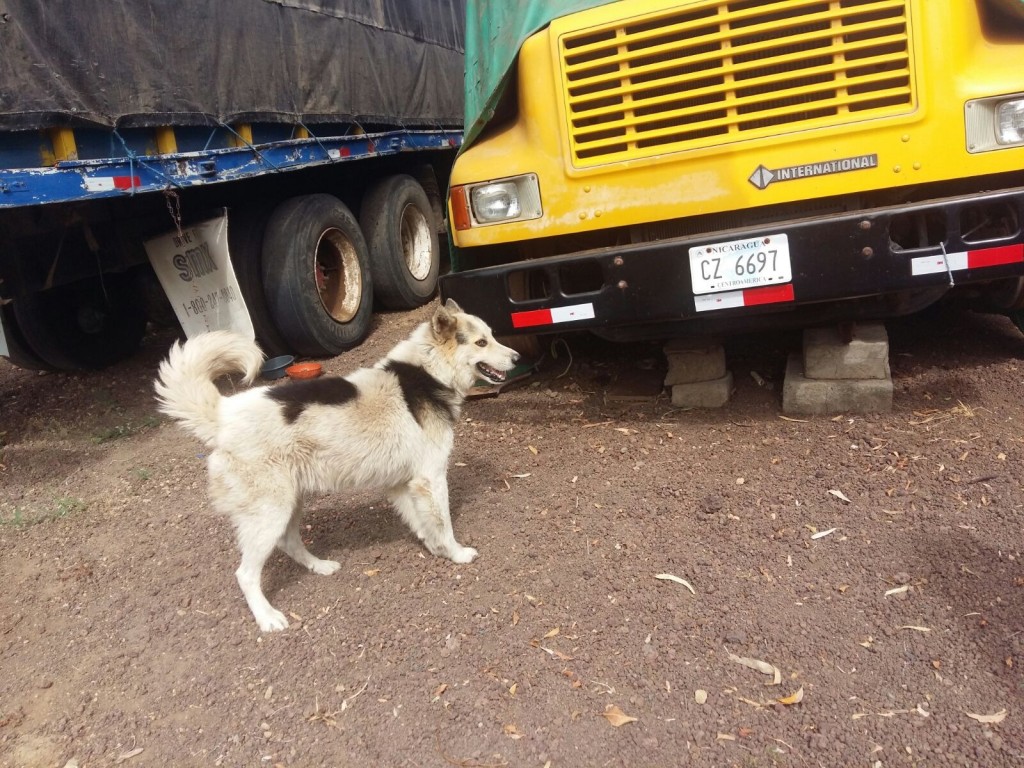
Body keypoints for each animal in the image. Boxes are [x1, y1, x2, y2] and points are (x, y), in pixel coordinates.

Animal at [155, 299, 520, 630]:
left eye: (491, 336)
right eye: (482, 342)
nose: (517, 357)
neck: (429, 371)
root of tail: (223, 414)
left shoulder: (403, 484)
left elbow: (423, 524)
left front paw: (436, 549)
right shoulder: (430, 479)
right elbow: (443, 523)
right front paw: (456, 553)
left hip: (289, 503)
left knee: (289, 543)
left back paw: (320, 567)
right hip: (270, 512)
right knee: (245, 574)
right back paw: (267, 618)